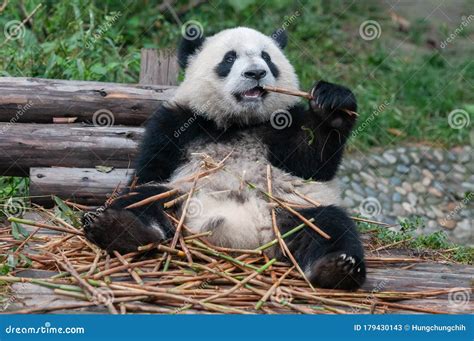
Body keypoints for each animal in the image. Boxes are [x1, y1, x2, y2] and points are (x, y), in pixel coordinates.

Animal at [84, 25, 366, 290]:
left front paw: (333, 105)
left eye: (267, 57)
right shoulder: (177, 122)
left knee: (330, 225)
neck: (238, 122)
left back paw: (336, 269)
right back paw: (119, 229)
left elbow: (313, 163)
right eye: (229, 58)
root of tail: (247, 239)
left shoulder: (282, 124)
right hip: (183, 202)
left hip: (289, 209)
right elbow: (150, 171)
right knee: (144, 199)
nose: (256, 73)